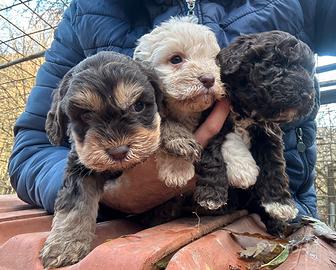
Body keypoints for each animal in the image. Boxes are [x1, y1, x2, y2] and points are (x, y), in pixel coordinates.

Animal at [39, 51, 163, 268]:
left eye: (138, 106)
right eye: (86, 114)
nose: (118, 151)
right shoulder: (79, 168)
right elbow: (74, 202)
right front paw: (65, 243)